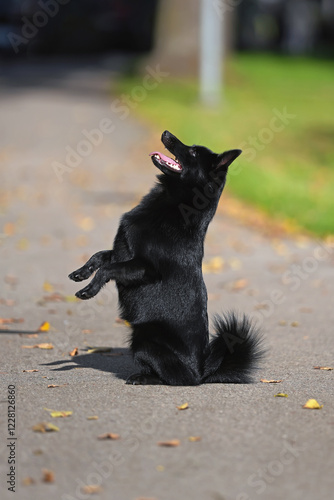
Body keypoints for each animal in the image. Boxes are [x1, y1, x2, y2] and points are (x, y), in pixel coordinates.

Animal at [68, 131, 264, 384]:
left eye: (193, 152)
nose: (166, 134)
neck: (176, 206)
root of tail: (203, 371)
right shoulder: (122, 252)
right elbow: (99, 257)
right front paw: (80, 273)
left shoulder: (144, 267)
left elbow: (106, 269)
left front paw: (88, 291)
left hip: (144, 339)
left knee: (176, 378)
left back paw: (142, 377)